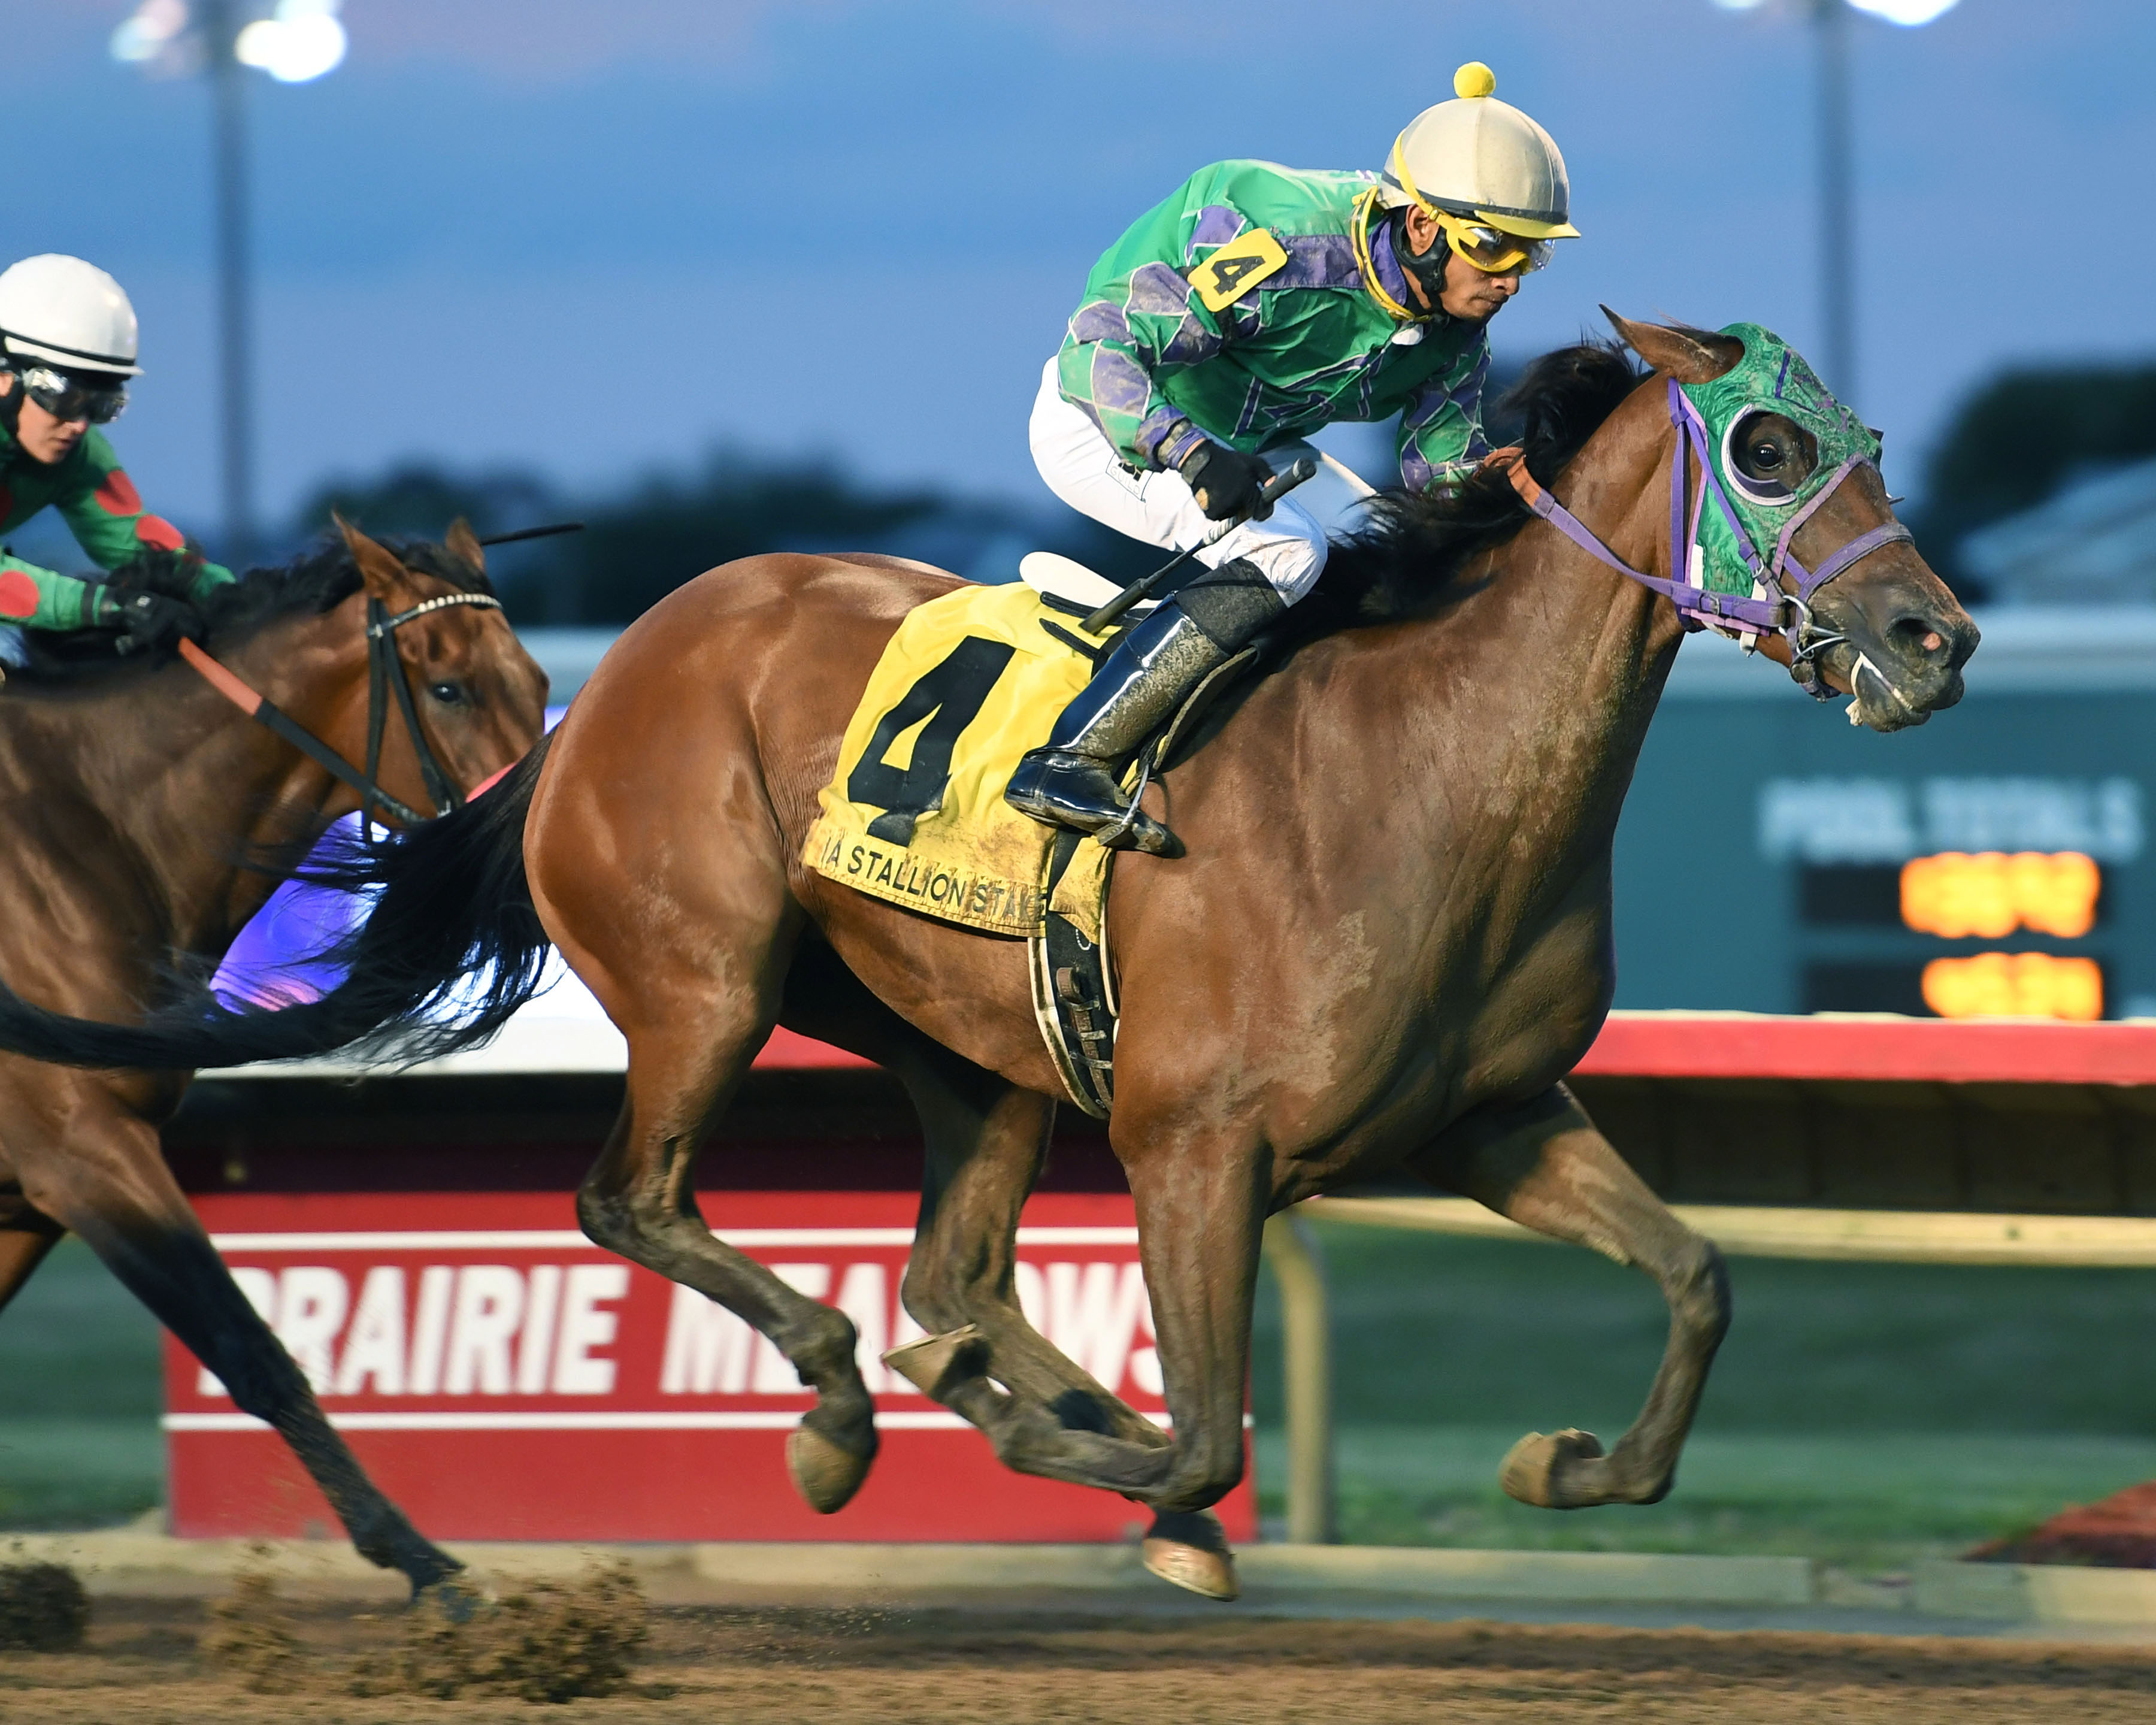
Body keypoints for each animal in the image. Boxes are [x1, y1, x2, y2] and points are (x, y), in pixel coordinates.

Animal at [0, 520, 546, 1594]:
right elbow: (247, 1345)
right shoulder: (79, 1145)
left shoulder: (30, 1188)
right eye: (450, 687)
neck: (88, 827)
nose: (534, 848)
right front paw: (426, 1564)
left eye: (541, 681)